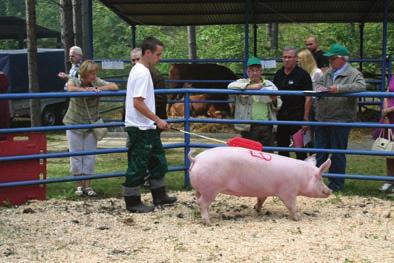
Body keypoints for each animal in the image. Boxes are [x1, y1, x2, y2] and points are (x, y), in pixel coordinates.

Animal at [189, 146, 330, 225]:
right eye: (320, 178)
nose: (329, 190)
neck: (303, 177)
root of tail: (196, 159)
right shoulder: (288, 191)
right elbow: (292, 206)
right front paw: (298, 218)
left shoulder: (264, 191)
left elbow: (261, 200)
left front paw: (257, 210)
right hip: (210, 189)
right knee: (202, 203)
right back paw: (209, 223)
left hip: (199, 188)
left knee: (198, 199)